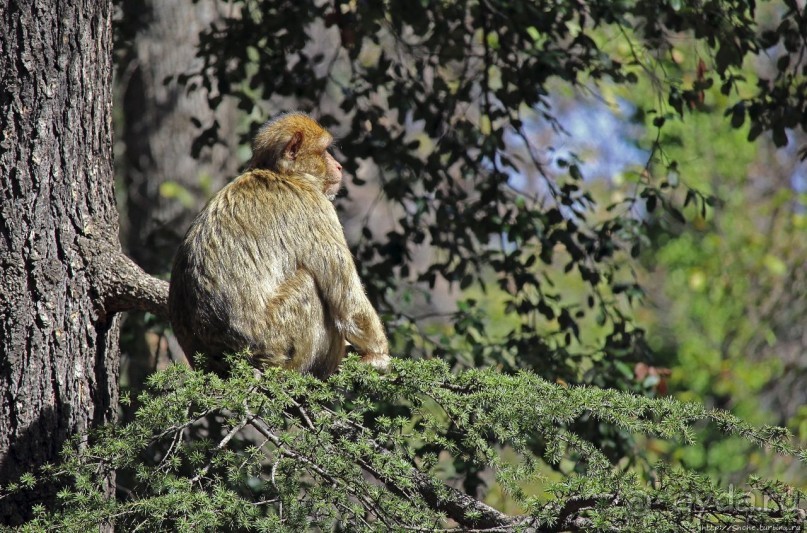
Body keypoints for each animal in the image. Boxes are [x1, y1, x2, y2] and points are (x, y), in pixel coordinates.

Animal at [168, 112, 392, 378]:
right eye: (324, 151)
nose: (339, 166)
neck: (283, 174)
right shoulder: (316, 208)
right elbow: (348, 303)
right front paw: (377, 354)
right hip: (276, 342)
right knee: (310, 285)